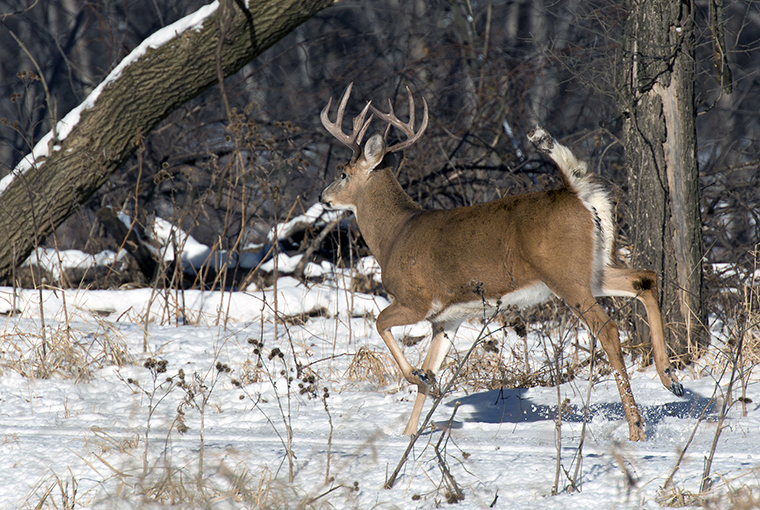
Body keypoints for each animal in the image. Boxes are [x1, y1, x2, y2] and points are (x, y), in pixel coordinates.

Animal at [318, 81, 684, 440]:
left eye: (343, 173)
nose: (323, 197)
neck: (394, 236)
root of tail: (577, 192)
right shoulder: (446, 320)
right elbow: (430, 370)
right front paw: (410, 430)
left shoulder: (416, 300)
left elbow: (380, 323)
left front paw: (417, 379)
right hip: (593, 269)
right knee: (645, 278)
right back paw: (671, 379)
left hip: (566, 276)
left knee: (608, 328)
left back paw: (636, 426)